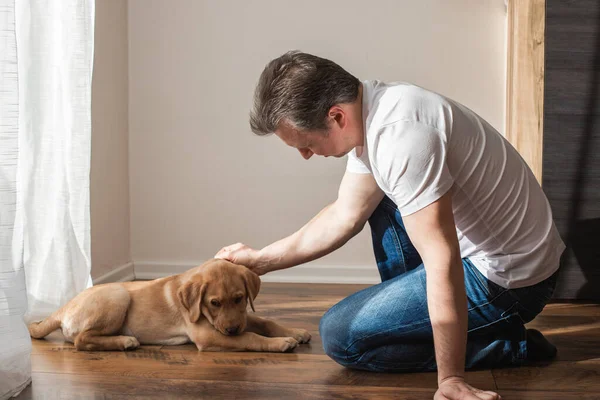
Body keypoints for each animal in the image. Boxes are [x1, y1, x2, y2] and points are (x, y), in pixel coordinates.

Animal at [27, 258, 310, 352]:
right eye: (214, 302)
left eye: (240, 298)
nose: (231, 330)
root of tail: (63, 308)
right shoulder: (208, 335)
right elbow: (251, 337)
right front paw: (281, 343)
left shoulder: (241, 317)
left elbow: (265, 322)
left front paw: (296, 332)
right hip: (118, 295)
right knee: (81, 340)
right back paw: (125, 341)